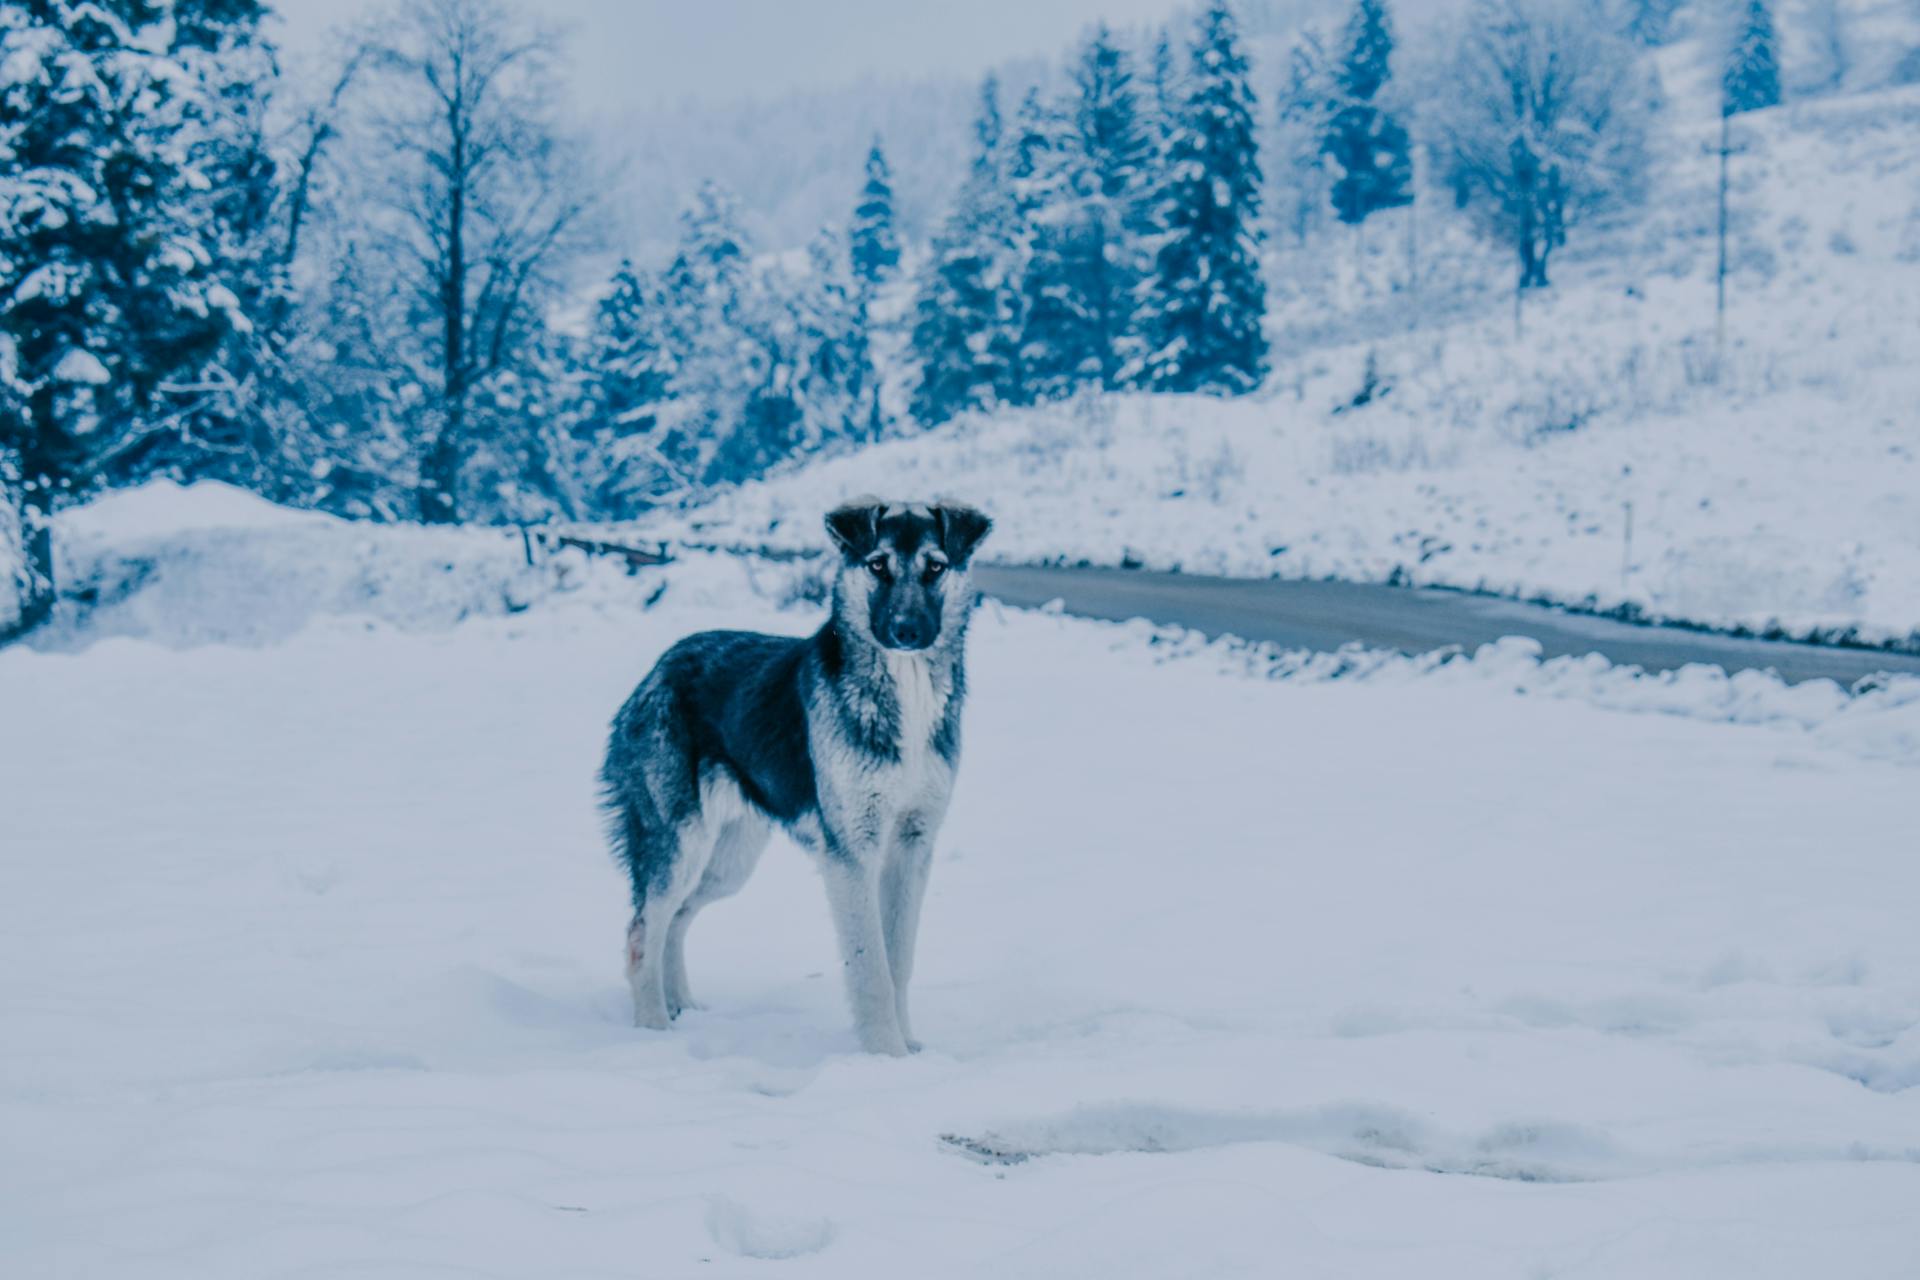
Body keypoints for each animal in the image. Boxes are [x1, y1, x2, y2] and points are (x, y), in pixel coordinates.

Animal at [595, 498, 990, 1051]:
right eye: (877, 566)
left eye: (935, 567)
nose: (907, 631)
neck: (904, 690)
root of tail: (655, 672)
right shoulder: (852, 854)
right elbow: (872, 968)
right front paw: (885, 1054)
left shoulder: (913, 846)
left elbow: (899, 960)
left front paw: (908, 1047)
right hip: (679, 845)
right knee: (640, 932)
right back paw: (654, 1030)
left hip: (728, 862)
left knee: (674, 919)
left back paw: (682, 1008)